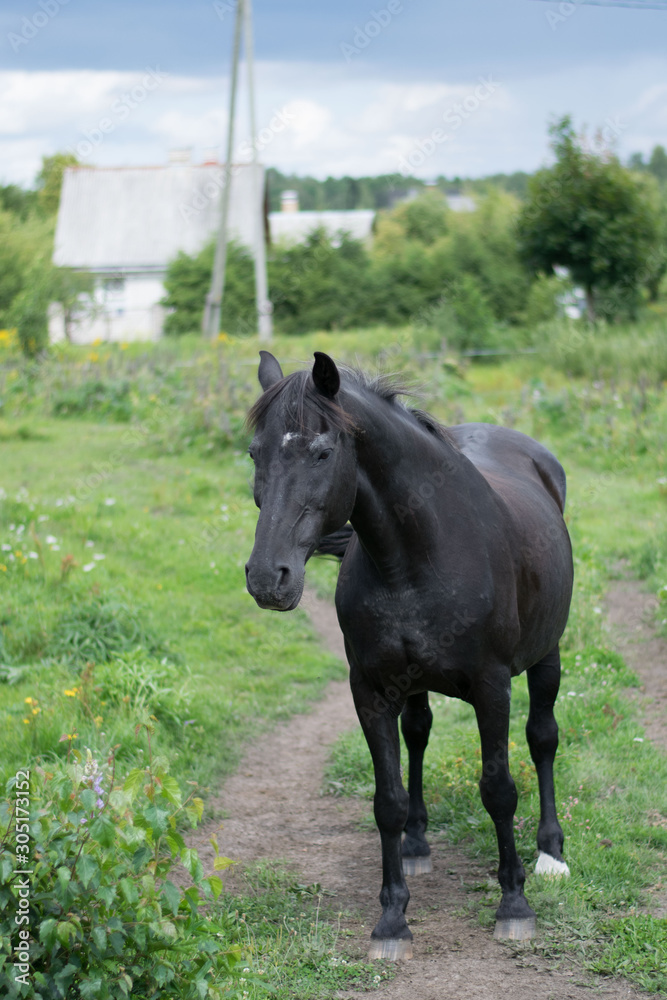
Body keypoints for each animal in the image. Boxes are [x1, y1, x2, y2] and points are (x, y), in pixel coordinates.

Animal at [245, 352, 576, 960]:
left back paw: (550, 854)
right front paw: (392, 917)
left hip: (548, 654)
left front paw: (514, 904)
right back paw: (418, 844)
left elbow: (499, 790)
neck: (418, 555)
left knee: (543, 739)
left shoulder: (492, 686)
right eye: (256, 454)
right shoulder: (371, 690)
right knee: (418, 733)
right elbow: (389, 800)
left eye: (322, 452)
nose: (266, 577)